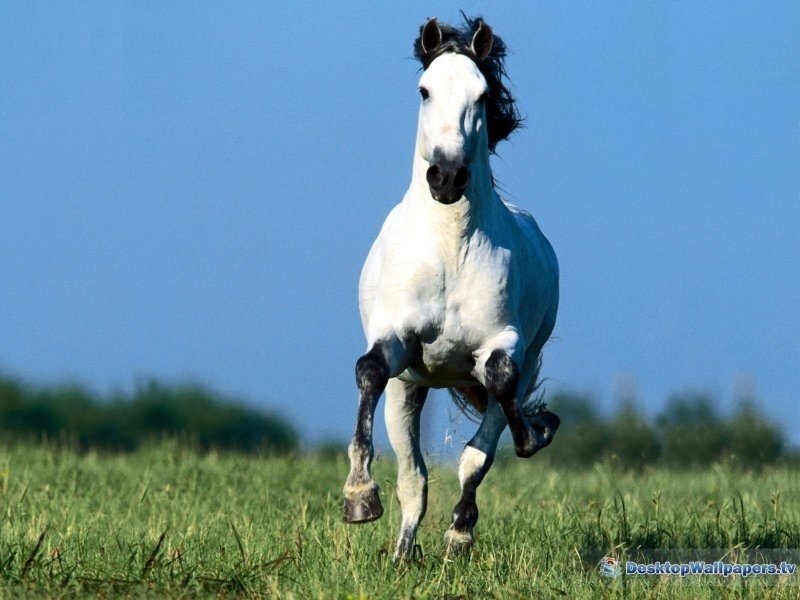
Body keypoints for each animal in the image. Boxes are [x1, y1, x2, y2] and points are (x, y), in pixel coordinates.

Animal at [342, 15, 561, 562]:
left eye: (482, 95)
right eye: (425, 90)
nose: (446, 176)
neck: (449, 248)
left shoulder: (504, 345)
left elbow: (499, 397)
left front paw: (537, 432)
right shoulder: (394, 340)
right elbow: (368, 370)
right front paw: (358, 497)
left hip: (523, 360)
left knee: (477, 449)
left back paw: (458, 536)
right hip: (409, 390)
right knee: (412, 478)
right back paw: (401, 555)